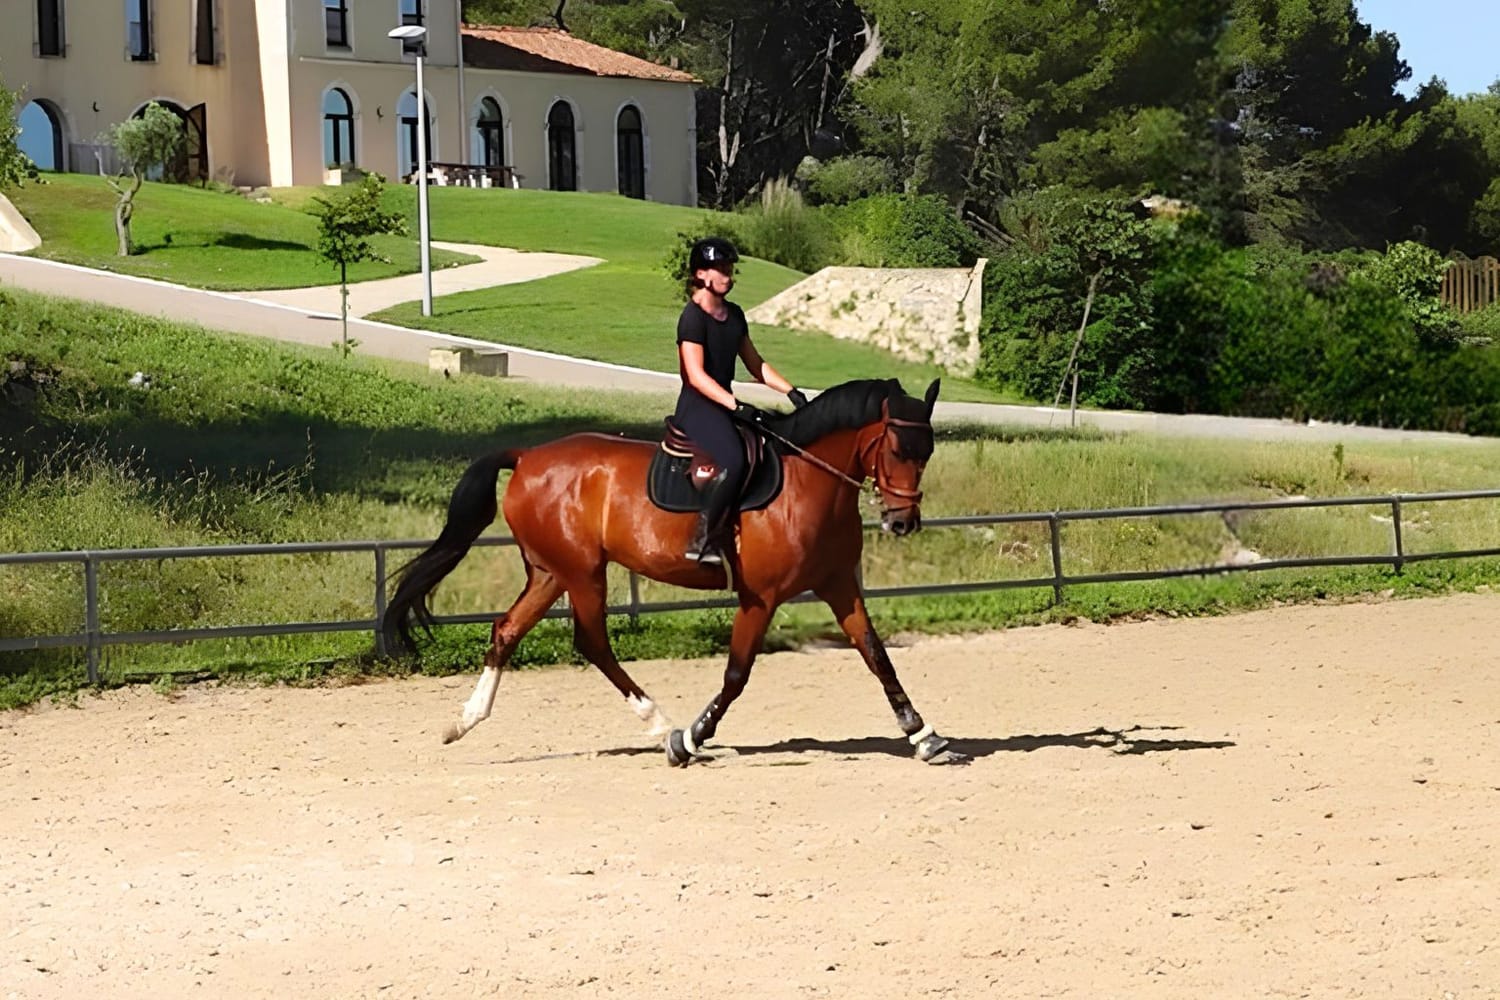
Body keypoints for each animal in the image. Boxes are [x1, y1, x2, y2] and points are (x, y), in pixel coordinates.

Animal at [382, 377, 966, 766]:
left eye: (928, 451)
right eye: (897, 447)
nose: (903, 522)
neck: (807, 480)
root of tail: (527, 455)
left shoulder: (839, 585)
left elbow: (877, 655)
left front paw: (924, 736)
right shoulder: (761, 597)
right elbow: (736, 674)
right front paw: (691, 738)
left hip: (551, 572)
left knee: (506, 630)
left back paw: (464, 721)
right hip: (582, 572)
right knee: (592, 640)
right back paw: (659, 723)